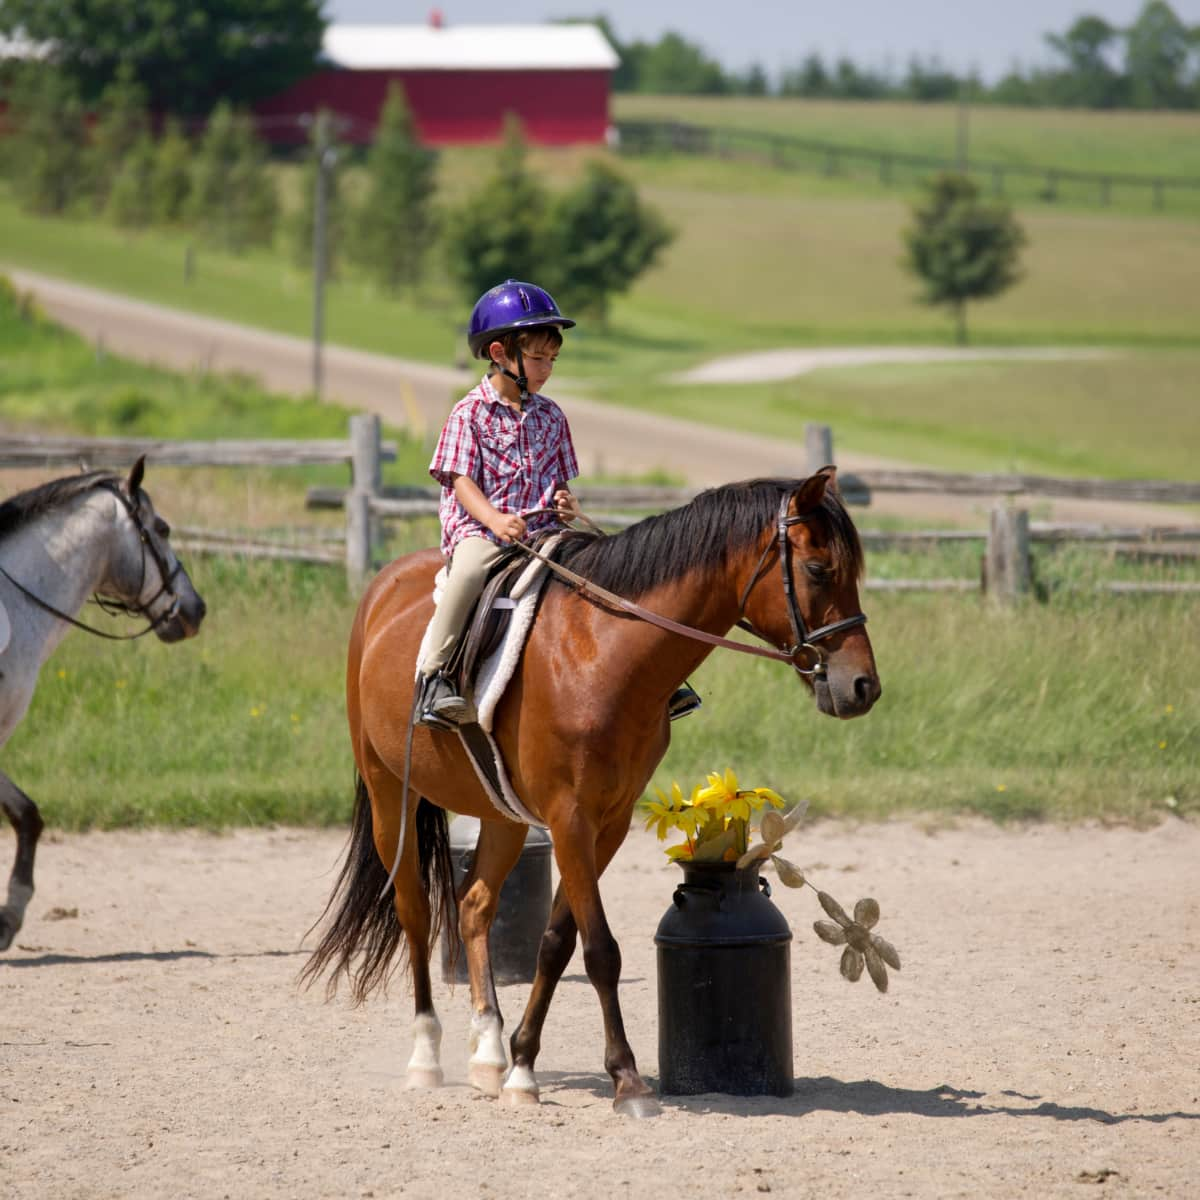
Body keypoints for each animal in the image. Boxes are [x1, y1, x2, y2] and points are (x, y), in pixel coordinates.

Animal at [302, 465, 883, 1113]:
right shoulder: (569, 819)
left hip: (503, 814)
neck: (603, 651)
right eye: (818, 569)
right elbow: (601, 949)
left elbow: (557, 941)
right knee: (416, 911)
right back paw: (426, 1055)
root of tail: (382, 587)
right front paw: (626, 1079)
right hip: (390, 797)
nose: (863, 687)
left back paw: (488, 1051)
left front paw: (522, 1066)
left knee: (474, 906)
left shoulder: (608, 822)